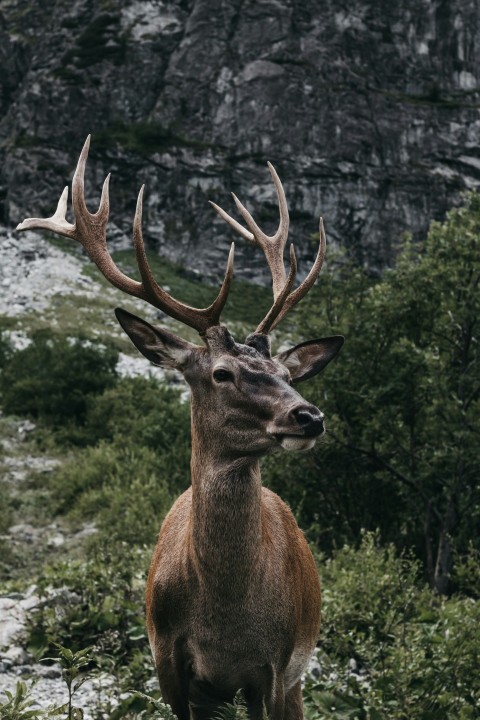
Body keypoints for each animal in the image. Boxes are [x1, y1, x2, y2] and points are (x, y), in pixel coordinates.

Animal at [17, 136, 344, 720]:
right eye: (222, 373)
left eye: (287, 374)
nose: (309, 416)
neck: (225, 621)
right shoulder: (166, 658)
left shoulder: (273, 667)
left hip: (297, 677)